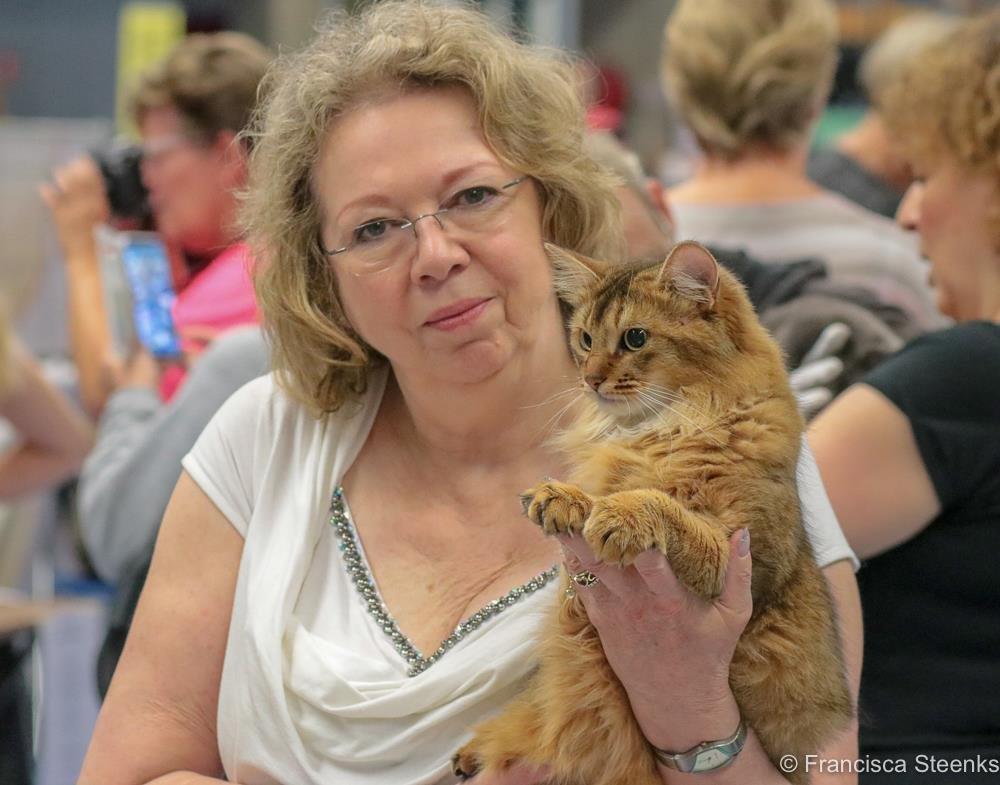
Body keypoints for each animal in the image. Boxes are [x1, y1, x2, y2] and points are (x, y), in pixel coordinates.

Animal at [452, 241, 853, 785]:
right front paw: (565, 498)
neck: (660, 428)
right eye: (584, 339)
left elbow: (659, 504)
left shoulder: (743, 558)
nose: (590, 380)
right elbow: (599, 495)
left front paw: (619, 516)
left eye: (635, 338)